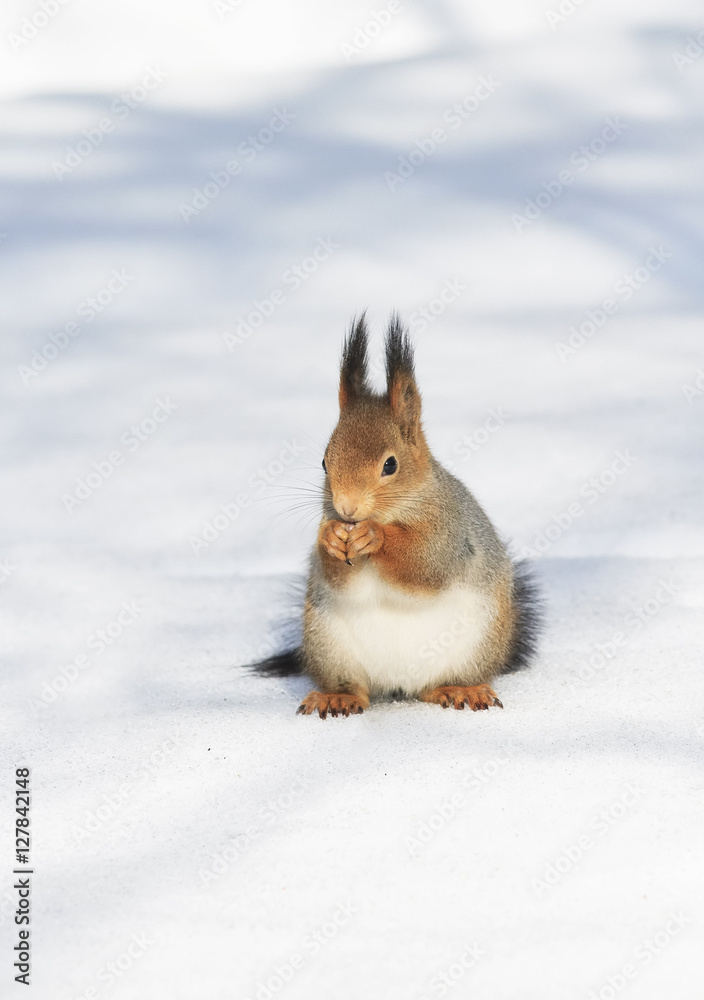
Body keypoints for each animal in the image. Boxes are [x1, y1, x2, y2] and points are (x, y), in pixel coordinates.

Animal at [252, 316, 540, 716]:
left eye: (390, 465)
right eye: (324, 462)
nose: (347, 508)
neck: (396, 512)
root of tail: (400, 684)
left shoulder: (450, 534)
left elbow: (422, 565)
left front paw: (374, 536)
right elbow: (339, 580)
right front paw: (331, 539)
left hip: (474, 646)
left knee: (440, 682)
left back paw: (460, 689)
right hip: (330, 645)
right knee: (356, 688)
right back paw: (338, 697)